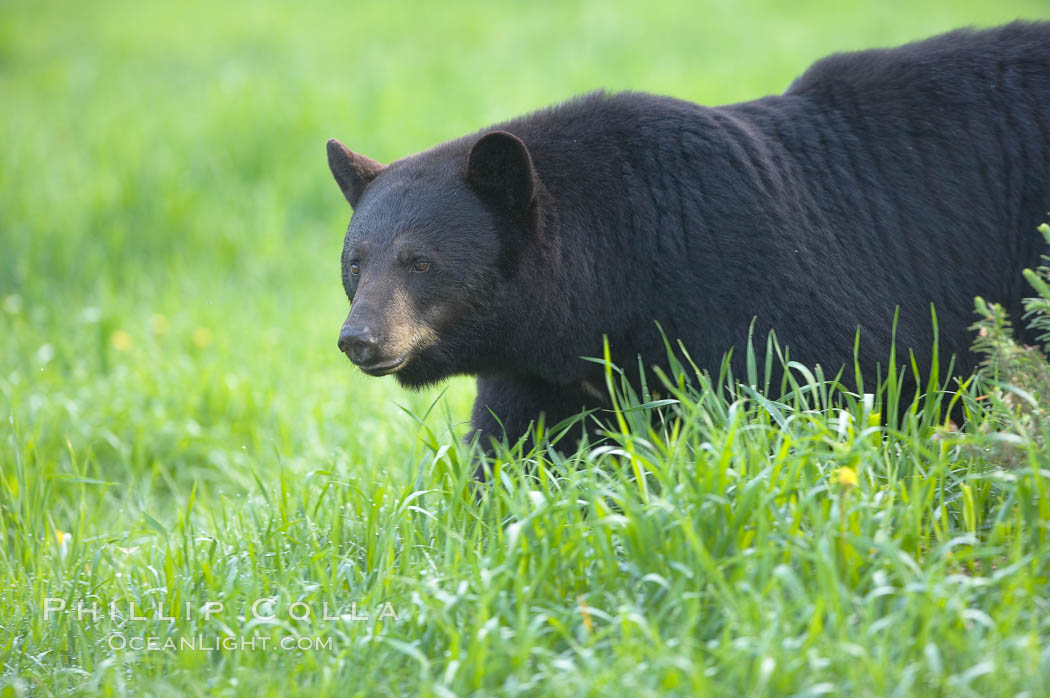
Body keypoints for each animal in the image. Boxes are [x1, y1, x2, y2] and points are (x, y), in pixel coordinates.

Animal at [325, 19, 1050, 455]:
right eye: (356, 264)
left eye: (420, 261)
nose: (359, 338)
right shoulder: (539, 374)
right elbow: (517, 457)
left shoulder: (760, 296)